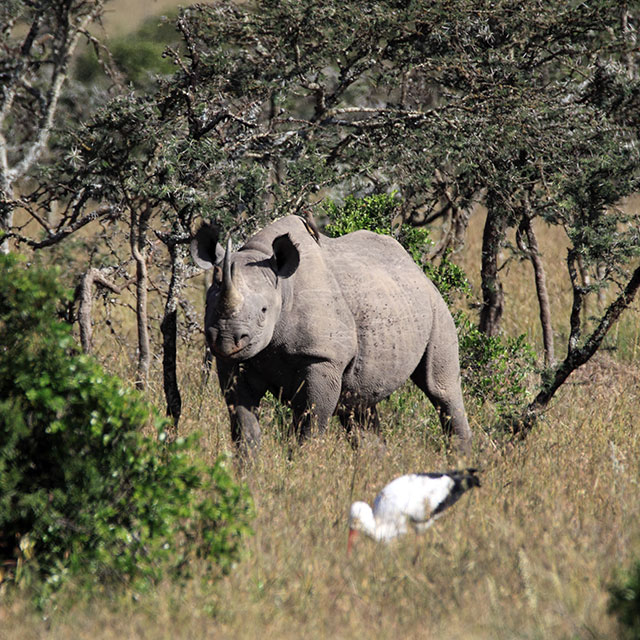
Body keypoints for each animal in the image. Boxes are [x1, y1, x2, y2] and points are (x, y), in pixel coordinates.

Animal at [191, 215, 472, 455]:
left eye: (263, 311)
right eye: (207, 306)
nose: (227, 339)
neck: (283, 288)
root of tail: (417, 267)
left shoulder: (323, 359)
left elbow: (309, 427)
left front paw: (298, 470)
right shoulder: (234, 362)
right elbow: (244, 425)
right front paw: (247, 474)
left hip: (436, 307)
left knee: (441, 389)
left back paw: (460, 460)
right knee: (359, 402)